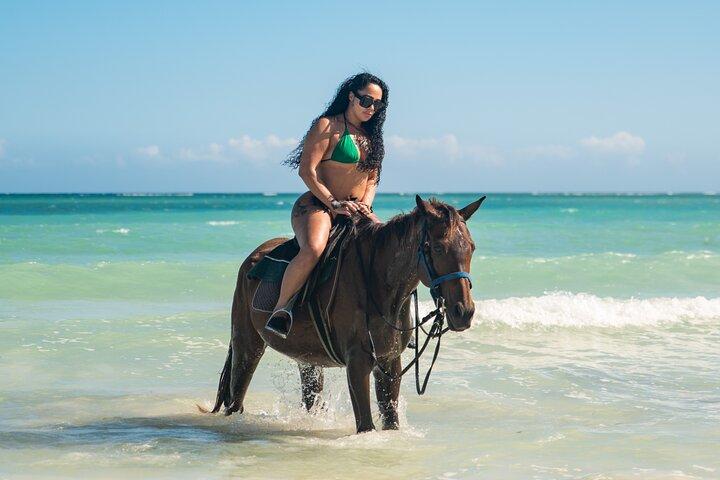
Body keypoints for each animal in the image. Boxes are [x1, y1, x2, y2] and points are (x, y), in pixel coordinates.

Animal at [206, 194, 485, 433]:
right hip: (247, 345)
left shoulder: (388, 362)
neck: (378, 284)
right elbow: (366, 425)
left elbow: (390, 420)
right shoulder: (357, 362)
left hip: (307, 359)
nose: (464, 312)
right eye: (437, 248)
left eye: (471, 248)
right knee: (236, 396)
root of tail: (253, 258)